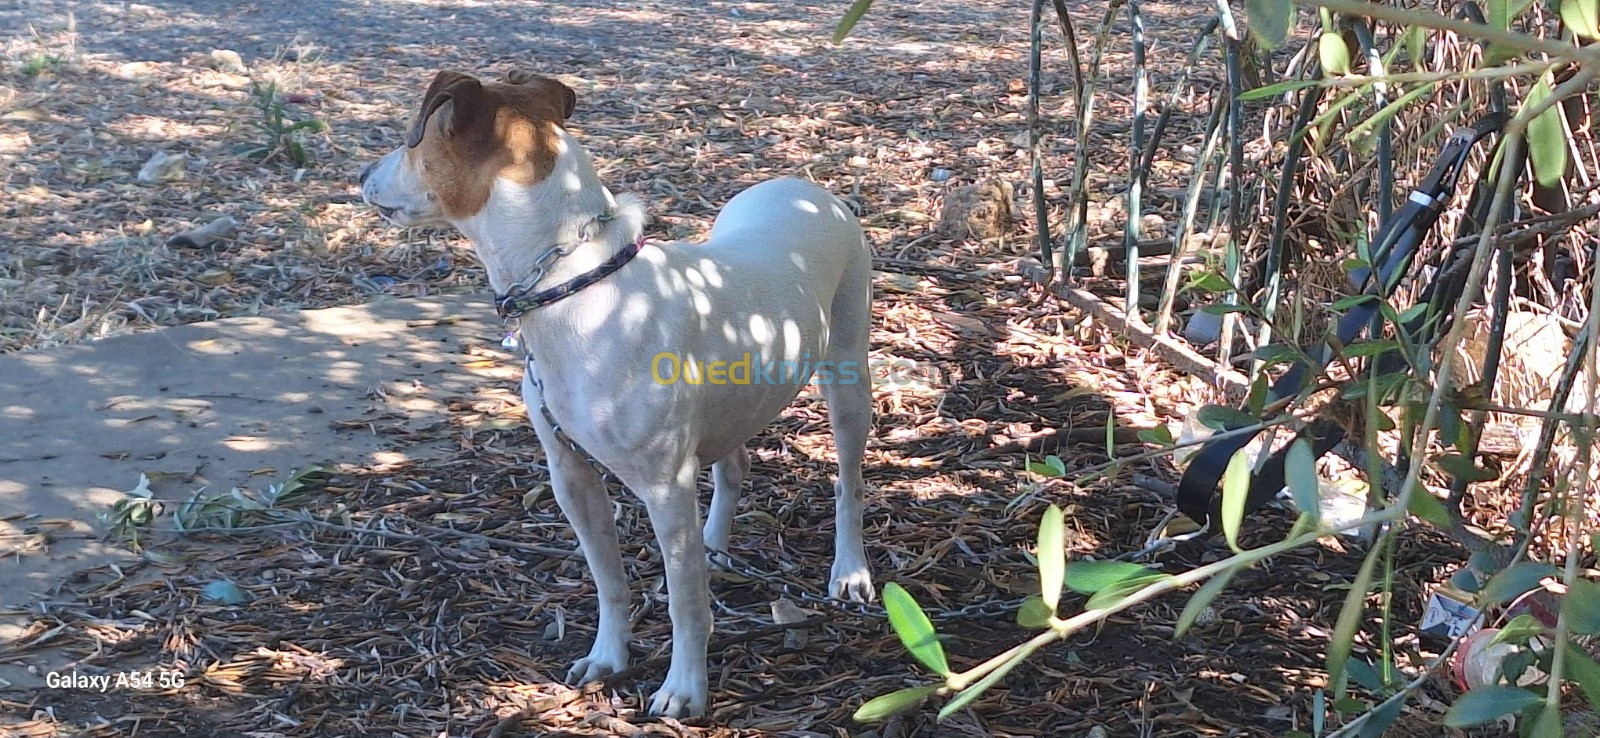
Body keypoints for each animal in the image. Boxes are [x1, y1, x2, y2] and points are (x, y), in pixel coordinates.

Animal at [360, 68, 876, 713]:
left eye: (415, 142)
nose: (362, 175)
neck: (576, 284)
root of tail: (809, 189)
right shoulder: (571, 476)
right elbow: (609, 581)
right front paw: (609, 657)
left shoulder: (664, 488)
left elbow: (686, 601)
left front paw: (684, 688)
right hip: (735, 400)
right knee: (733, 466)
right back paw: (714, 544)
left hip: (848, 381)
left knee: (848, 483)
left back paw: (849, 571)